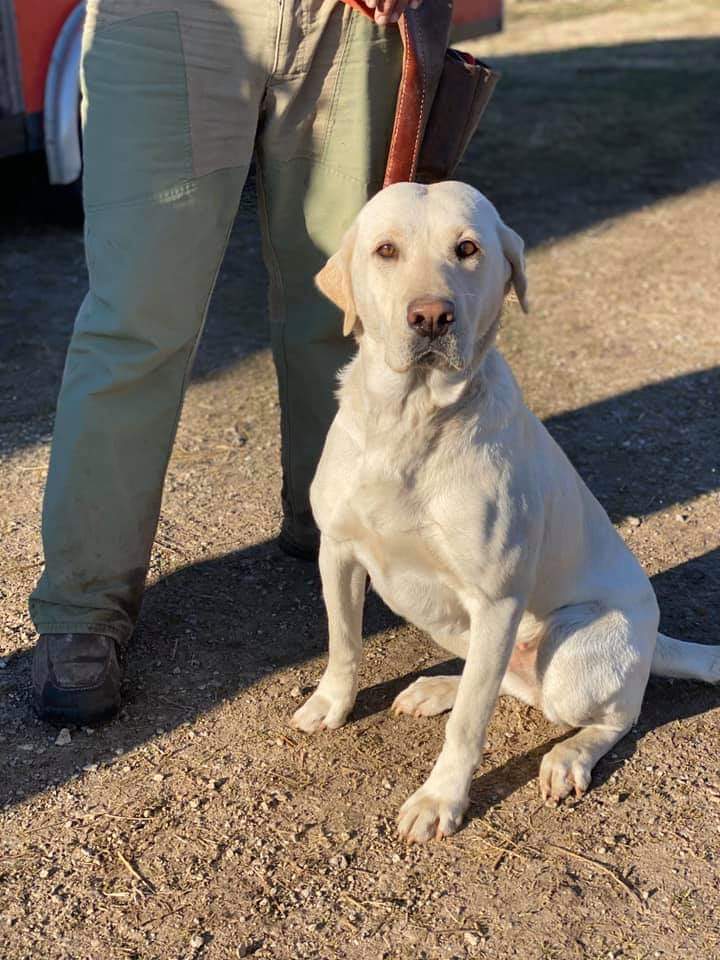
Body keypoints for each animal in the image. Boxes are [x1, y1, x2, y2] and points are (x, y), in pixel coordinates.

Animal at [290, 180, 716, 840]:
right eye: (386, 250)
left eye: (467, 249)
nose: (431, 316)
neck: (411, 422)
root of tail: (654, 639)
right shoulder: (337, 551)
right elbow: (343, 643)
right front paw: (331, 705)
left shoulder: (496, 602)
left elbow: (468, 725)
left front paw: (440, 800)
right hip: (456, 625)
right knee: (503, 685)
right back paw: (438, 687)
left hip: (570, 653)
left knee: (613, 714)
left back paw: (567, 757)